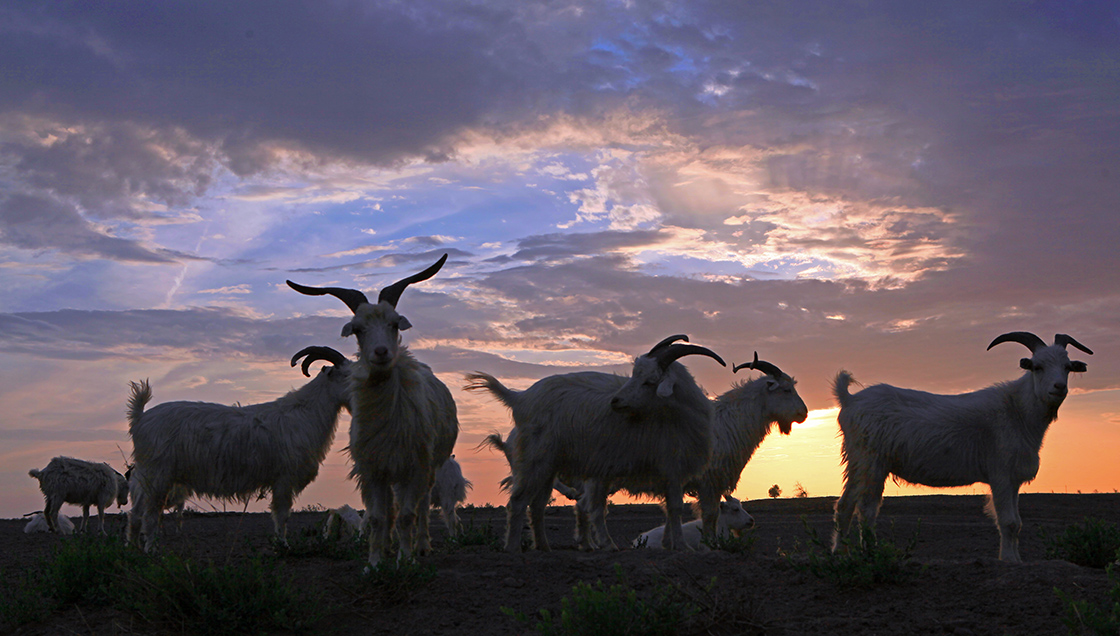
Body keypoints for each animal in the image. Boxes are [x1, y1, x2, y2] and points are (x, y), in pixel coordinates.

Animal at [123, 347, 349, 550]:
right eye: (347, 374)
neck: (305, 412)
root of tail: (140, 418)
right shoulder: (284, 478)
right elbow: (282, 514)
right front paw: (283, 545)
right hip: (157, 475)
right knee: (151, 514)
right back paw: (151, 549)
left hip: (146, 475)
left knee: (135, 513)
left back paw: (132, 547)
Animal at [293, 253, 463, 566]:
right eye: (358, 329)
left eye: (394, 324)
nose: (381, 352)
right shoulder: (373, 469)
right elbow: (376, 517)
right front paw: (374, 563)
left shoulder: (413, 467)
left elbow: (407, 515)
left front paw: (406, 561)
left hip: (429, 467)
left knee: (421, 507)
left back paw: (421, 546)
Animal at [463, 333, 725, 550]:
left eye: (649, 381)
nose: (616, 401)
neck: (677, 413)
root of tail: (519, 397)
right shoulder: (671, 467)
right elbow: (675, 508)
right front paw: (682, 547)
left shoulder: (670, 471)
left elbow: (669, 511)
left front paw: (669, 544)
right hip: (534, 459)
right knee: (517, 503)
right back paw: (513, 548)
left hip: (549, 466)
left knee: (537, 506)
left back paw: (544, 547)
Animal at [837, 333, 1088, 562]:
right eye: (1037, 367)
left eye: (1067, 367)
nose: (1059, 387)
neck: (1016, 410)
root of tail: (849, 400)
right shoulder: (1001, 474)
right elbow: (1008, 522)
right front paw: (1008, 560)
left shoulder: (1014, 479)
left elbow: (1017, 523)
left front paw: (1016, 559)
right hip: (869, 462)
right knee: (861, 509)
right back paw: (863, 555)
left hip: (863, 463)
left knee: (851, 506)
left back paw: (847, 554)